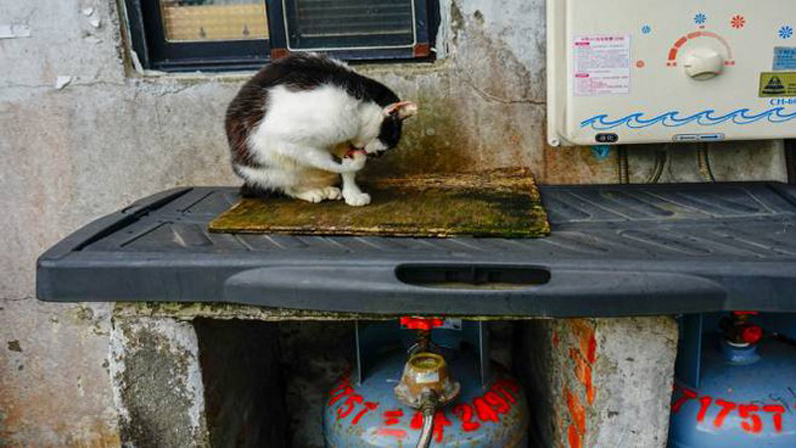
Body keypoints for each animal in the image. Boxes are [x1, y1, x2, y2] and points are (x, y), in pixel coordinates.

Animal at [224, 52, 416, 206]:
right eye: (388, 137)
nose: (379, 154)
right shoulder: (285, 139)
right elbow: (325, 160)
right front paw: (356, 163)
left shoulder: (342, 141)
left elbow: (347, 170)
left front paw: (353, 194)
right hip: (268, 169)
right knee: (286, 186)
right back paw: (311, 192)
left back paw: (327, 189)